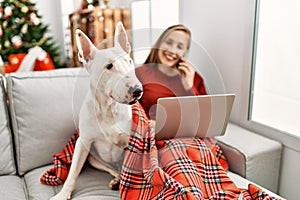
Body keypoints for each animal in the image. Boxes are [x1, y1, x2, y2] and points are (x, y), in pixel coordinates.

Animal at [50, 21, 143, 200]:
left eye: (129, 61)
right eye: (109, 66)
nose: (137, 90)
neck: (108, 108)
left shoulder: (132, 140)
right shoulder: (83, 142)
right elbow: (73, 172)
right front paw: (63, 194)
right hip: (93, 159)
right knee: (112, 169)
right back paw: (116, 179)